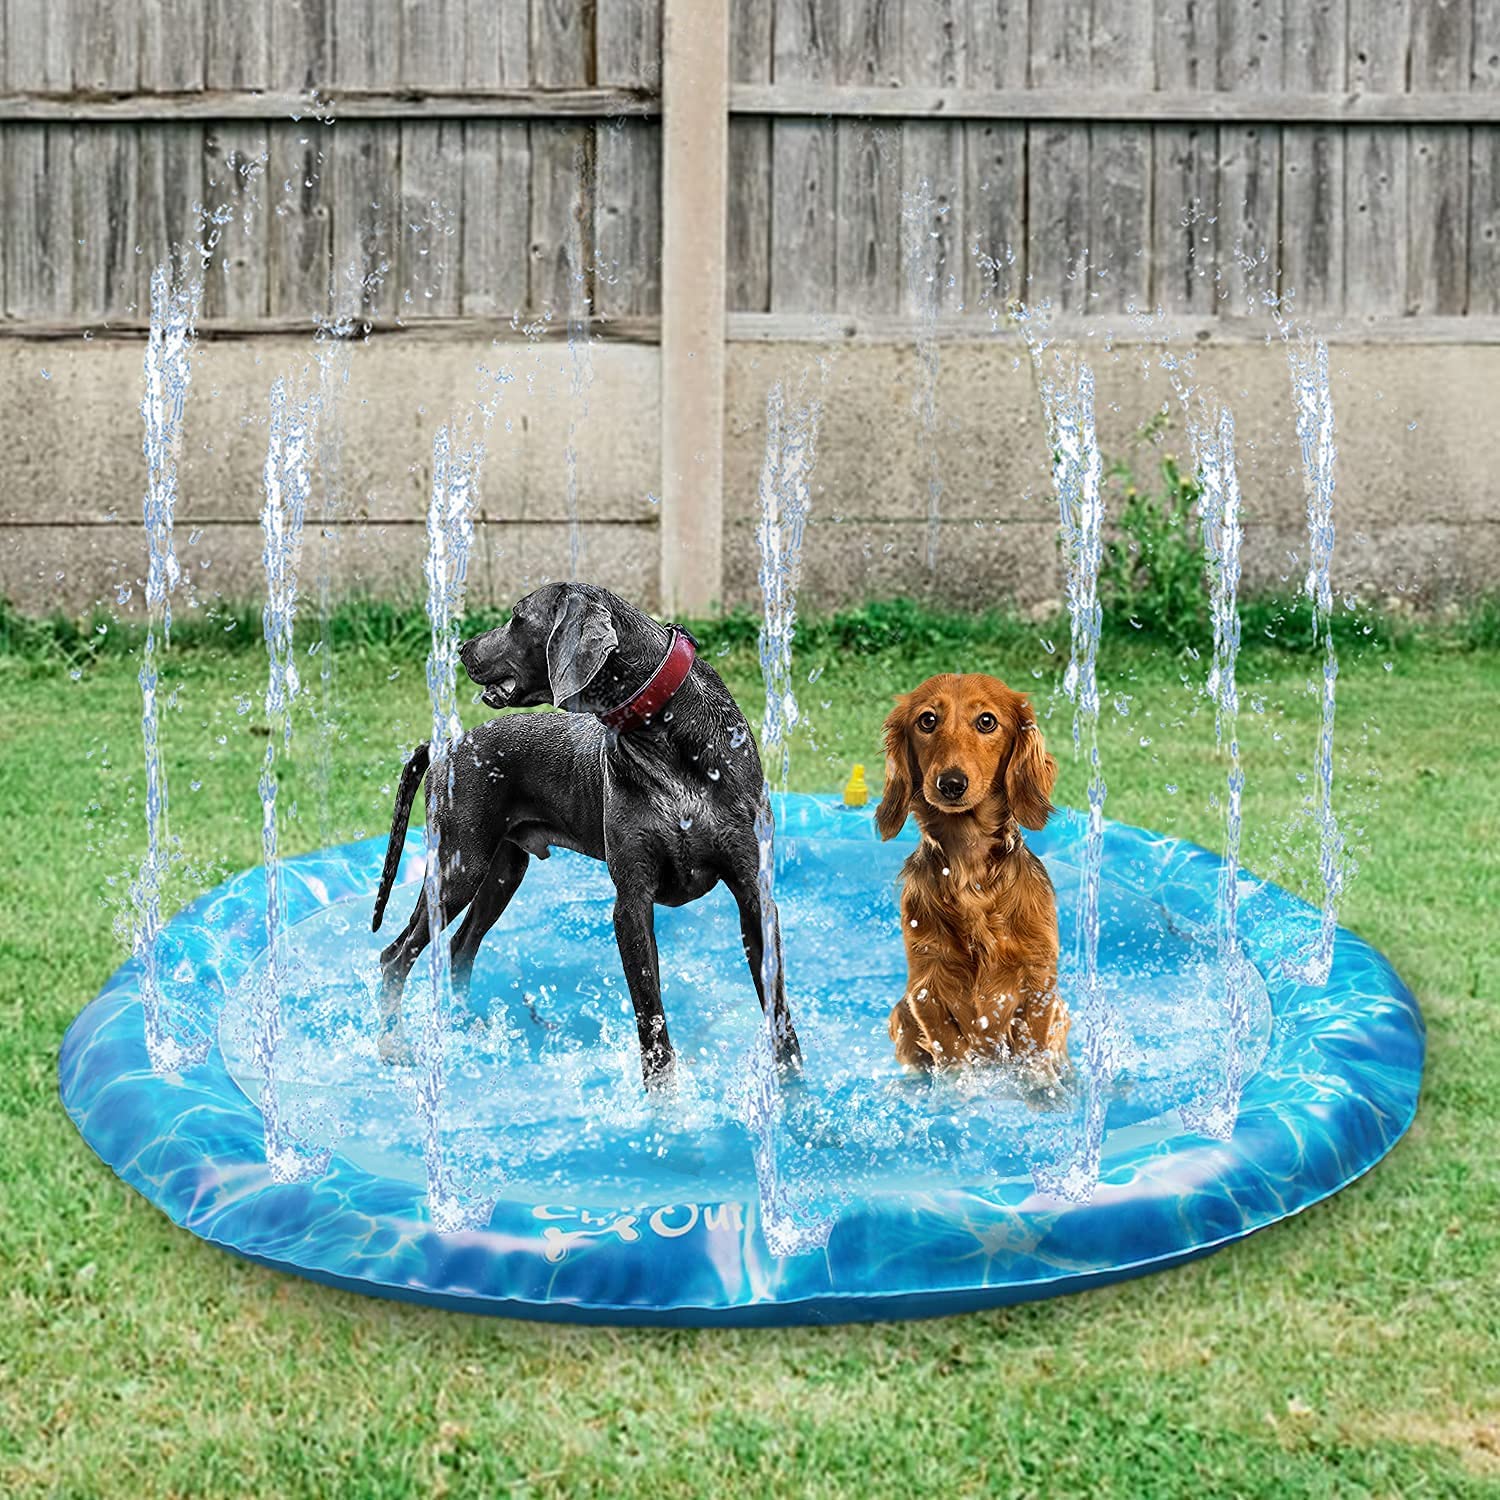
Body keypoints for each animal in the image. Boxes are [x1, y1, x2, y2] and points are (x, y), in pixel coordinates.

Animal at [876, 675, 1074, 1074]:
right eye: (927, 720)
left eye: (986, 721)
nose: (951, 784)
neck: (970, 873)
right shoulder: (926, 987)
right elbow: (953, 1060)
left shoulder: (1039, 982)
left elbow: (1033, 1056)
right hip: (901, 1015)